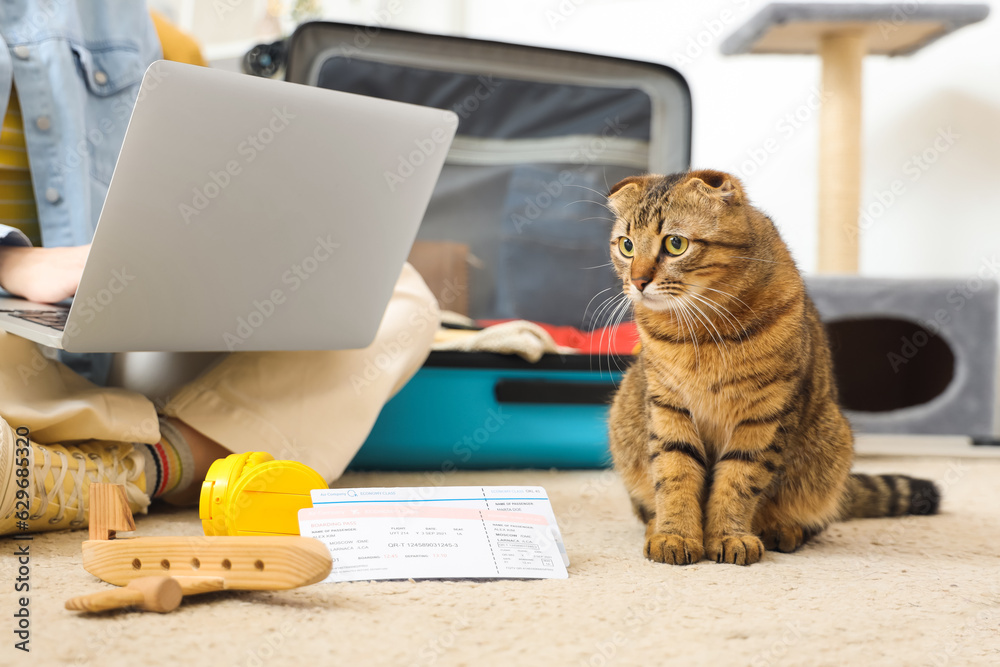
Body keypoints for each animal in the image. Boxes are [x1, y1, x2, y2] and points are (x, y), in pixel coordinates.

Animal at [604, 170, 940, 568]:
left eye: (675, 243)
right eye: (626, 246)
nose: (638, 282)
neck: (701, 332)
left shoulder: (764, 415)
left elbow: (738, 480)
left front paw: (728, 535)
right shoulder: (667, 405)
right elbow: (675, 474)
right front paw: (676, 533)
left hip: (832, 443)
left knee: (814, 519)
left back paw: (783, 529)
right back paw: (655, 525)